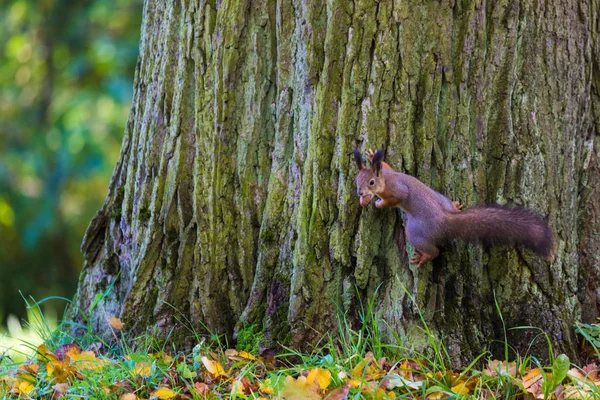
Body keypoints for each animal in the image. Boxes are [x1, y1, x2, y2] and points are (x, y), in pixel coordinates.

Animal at [354, 148, 556, 268]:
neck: (386, 180)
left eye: (371, 182)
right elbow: (386, 164)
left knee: (434, 251)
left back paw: (424, 257)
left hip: (416, 232)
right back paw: (456, 206)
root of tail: (446, 219)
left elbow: (395, 199)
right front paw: (371, 157)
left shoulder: (397, 190)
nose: (359, 192)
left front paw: (379, 203)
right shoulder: (388, 171)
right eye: (357, 179)